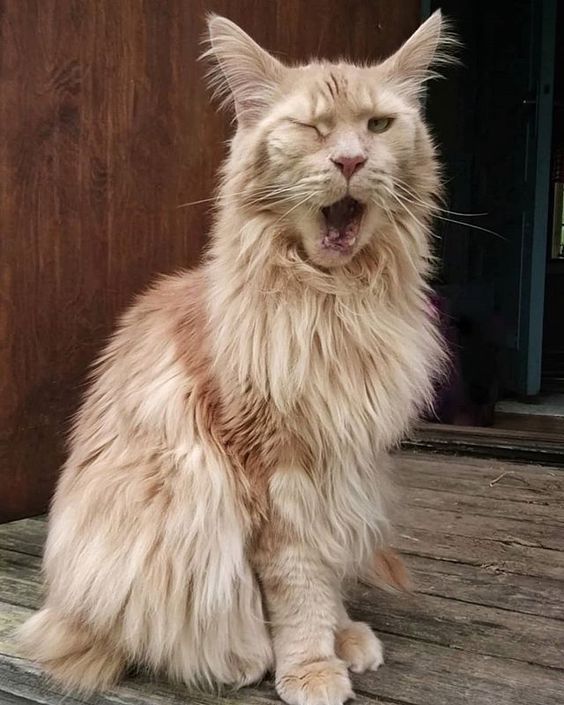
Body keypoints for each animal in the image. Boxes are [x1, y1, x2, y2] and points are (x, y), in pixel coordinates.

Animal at [18, 12, 454, 704]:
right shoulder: (277, 469)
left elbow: (328, 571)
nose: (351, 159)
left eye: (379, 126)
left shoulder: (343, 466)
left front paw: (340, 635)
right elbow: (299, 585)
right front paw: (309, 666)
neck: (334, 307)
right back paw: (241, 660)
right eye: (313, 128)